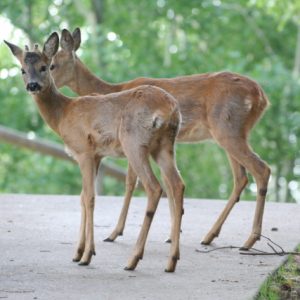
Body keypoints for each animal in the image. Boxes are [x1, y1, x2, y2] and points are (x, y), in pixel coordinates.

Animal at [4, 32, 184, 272]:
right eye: (23, 69)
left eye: (46, 66)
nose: (33, 85)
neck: (63, 114)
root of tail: (171, 109)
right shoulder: (97, 155)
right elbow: (82, 197)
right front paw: (78, 252)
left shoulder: (83, 151)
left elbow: (89, 197)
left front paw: (87, 255)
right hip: (164, 145)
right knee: (177, 184)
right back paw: (171, 261)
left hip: (134, 142)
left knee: (154, 188)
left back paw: (133, 259)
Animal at [51, 28, 272, 250]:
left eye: (52, 65)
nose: (41, 85)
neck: (113, 90)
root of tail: (262, 97)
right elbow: (168, 182)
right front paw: (172, 233)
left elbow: (131, 182)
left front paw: (115, 233)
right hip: (233, 133)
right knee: (241, 178)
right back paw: (210, 236)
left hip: (227, 129)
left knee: (261, 169)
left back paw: (249, 240)